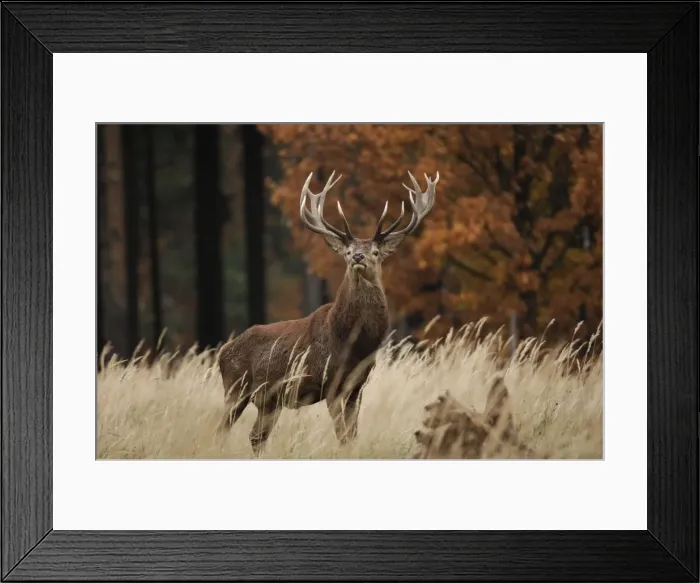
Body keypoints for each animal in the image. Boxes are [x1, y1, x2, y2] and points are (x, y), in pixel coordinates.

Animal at [216, 169, 439, 455]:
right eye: (347, 251)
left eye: (376, 251)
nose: (357, 257)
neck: (354, 343)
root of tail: (222, 353)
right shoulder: (331, 382)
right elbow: (342, 435)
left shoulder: (357, 386)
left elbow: (352, 434)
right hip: (236, 387)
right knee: (222, 430)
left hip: (268, 400)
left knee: (256, 436)